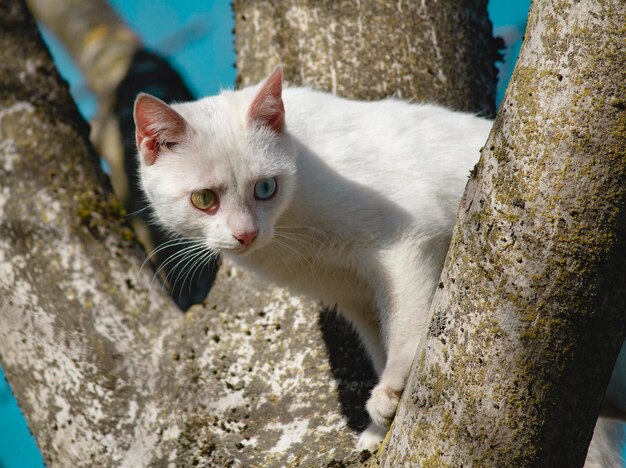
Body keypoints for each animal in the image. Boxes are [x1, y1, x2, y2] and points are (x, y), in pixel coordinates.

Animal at [133, 67, 624, 458]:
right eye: (204, 200)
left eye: (266, 188)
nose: (246, 234)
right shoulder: (354, 296)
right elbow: (378, 339)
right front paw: (375, 433)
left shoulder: (405, 240)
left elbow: (406, 325)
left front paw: (390, 394)